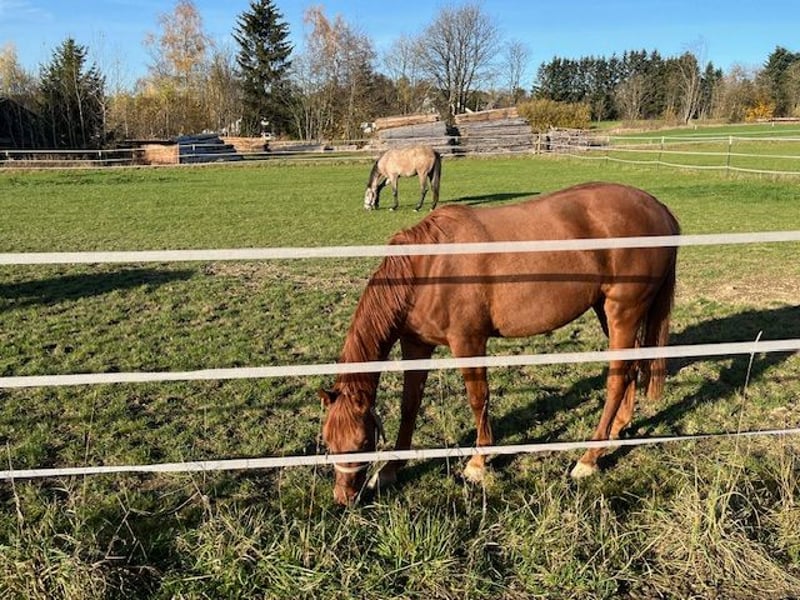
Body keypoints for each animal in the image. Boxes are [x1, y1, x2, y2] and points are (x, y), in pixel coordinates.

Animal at [320, 182, 680, 505]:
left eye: (362, 442)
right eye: (328, 443)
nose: (344, 499)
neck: (428, 268)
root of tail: (659, 210)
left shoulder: (468, 342)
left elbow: (478, 399)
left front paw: (478, 463)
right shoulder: (416, 345)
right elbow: (410, 405)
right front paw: (389, 472)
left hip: (623, 312)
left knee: (617, 377)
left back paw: (588, 459)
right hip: (607, 311)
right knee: (631, 366)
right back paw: (618, 429)